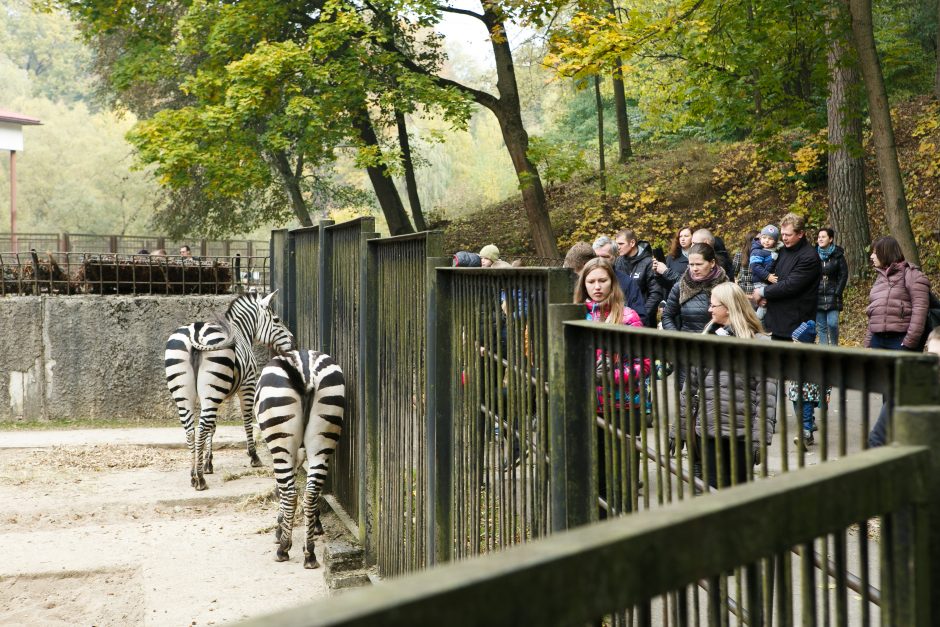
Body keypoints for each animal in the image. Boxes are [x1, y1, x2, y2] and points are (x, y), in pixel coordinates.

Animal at [163, 292, 292, 494]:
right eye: (277, 320)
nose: (293, 341)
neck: (241, 331)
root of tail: (195, 331)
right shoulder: (247, 385)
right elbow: (247, 421)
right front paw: (253, 456)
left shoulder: (214, 395)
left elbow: (213, 427)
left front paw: (207, 463)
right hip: (214, 389)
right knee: (200, 429)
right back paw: (200, 479)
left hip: (185, 393)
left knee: (191, 430)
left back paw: (193, 474)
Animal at [253, 348, 346, 568]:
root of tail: (306, 373)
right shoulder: (303, 450)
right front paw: (315, 524)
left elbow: (281, 488)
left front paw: (280, 529)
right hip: (323, 436)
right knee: (310, 493)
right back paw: (309, 553)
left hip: (280, 440)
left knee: (290, 493)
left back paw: (283, 549)